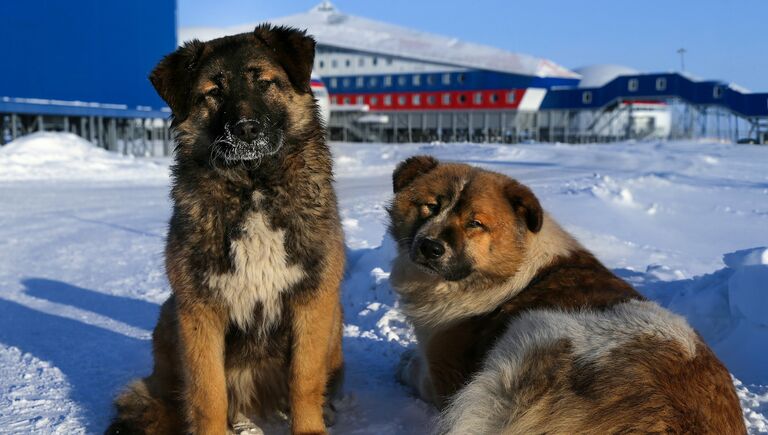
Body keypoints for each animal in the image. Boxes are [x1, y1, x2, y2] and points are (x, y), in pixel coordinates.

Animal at [107, 24, 344, 435]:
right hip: (169, 318)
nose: (246, 129)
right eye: (213, 92)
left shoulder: (313, 298)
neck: (254, 188)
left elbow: (304, 379)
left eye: (264, 82)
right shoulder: (199, 309)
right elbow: (207, 392)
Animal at [390, 157, 744, 435]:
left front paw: (406, 363)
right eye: (430, 206)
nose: (430, 247)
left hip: (534, 332)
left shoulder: (446, 377)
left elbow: (420, 375)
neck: (510, 268)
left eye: (475, 223)